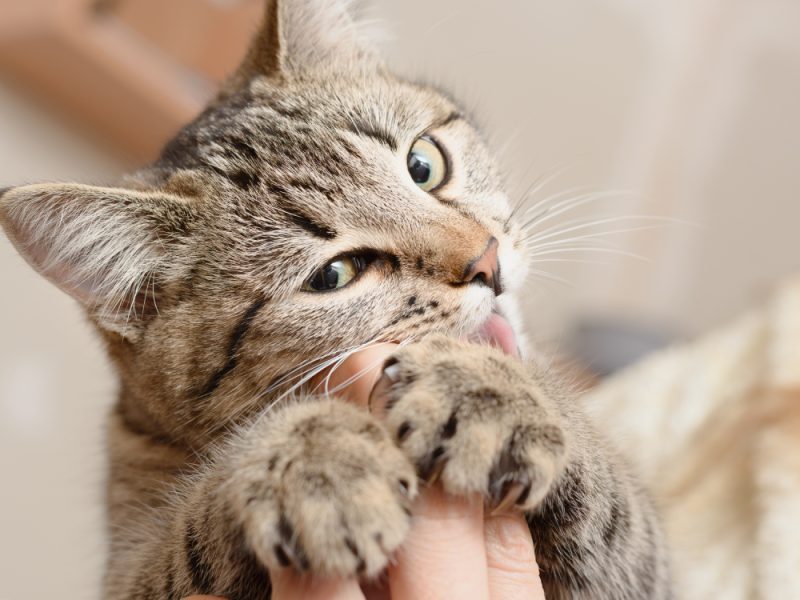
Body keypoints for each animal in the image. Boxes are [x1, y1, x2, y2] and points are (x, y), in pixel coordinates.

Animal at [0, 1, 668, 600]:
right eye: (334, 275)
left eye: (423, 163)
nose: (488, 260)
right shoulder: (130, 572)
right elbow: (195, 528)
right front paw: (316, 458)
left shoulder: (646, 565)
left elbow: (615, 497)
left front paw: (488, 389)